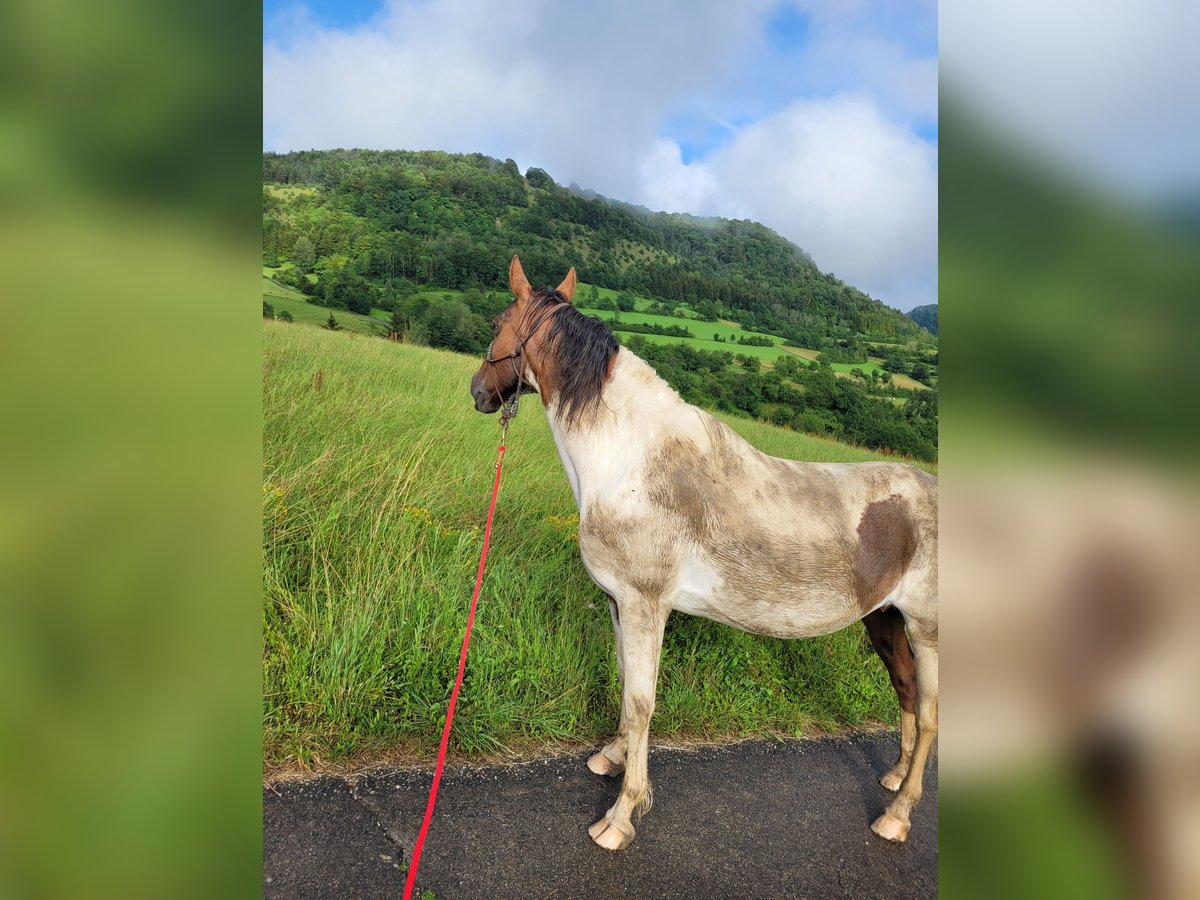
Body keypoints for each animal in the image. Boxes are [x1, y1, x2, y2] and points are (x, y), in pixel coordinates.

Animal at [468, 255, 936, 854]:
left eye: (497, 321)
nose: (479, 390)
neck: (627, 457)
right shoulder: (621, 603)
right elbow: (626, 683)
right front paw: (613, 757)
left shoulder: (646, 604)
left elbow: (642, 700)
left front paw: (621, 815)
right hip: (884, 619)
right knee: (905, 689)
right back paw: (895, 777)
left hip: (927, 629)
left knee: (930, 716)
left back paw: (896, 816)